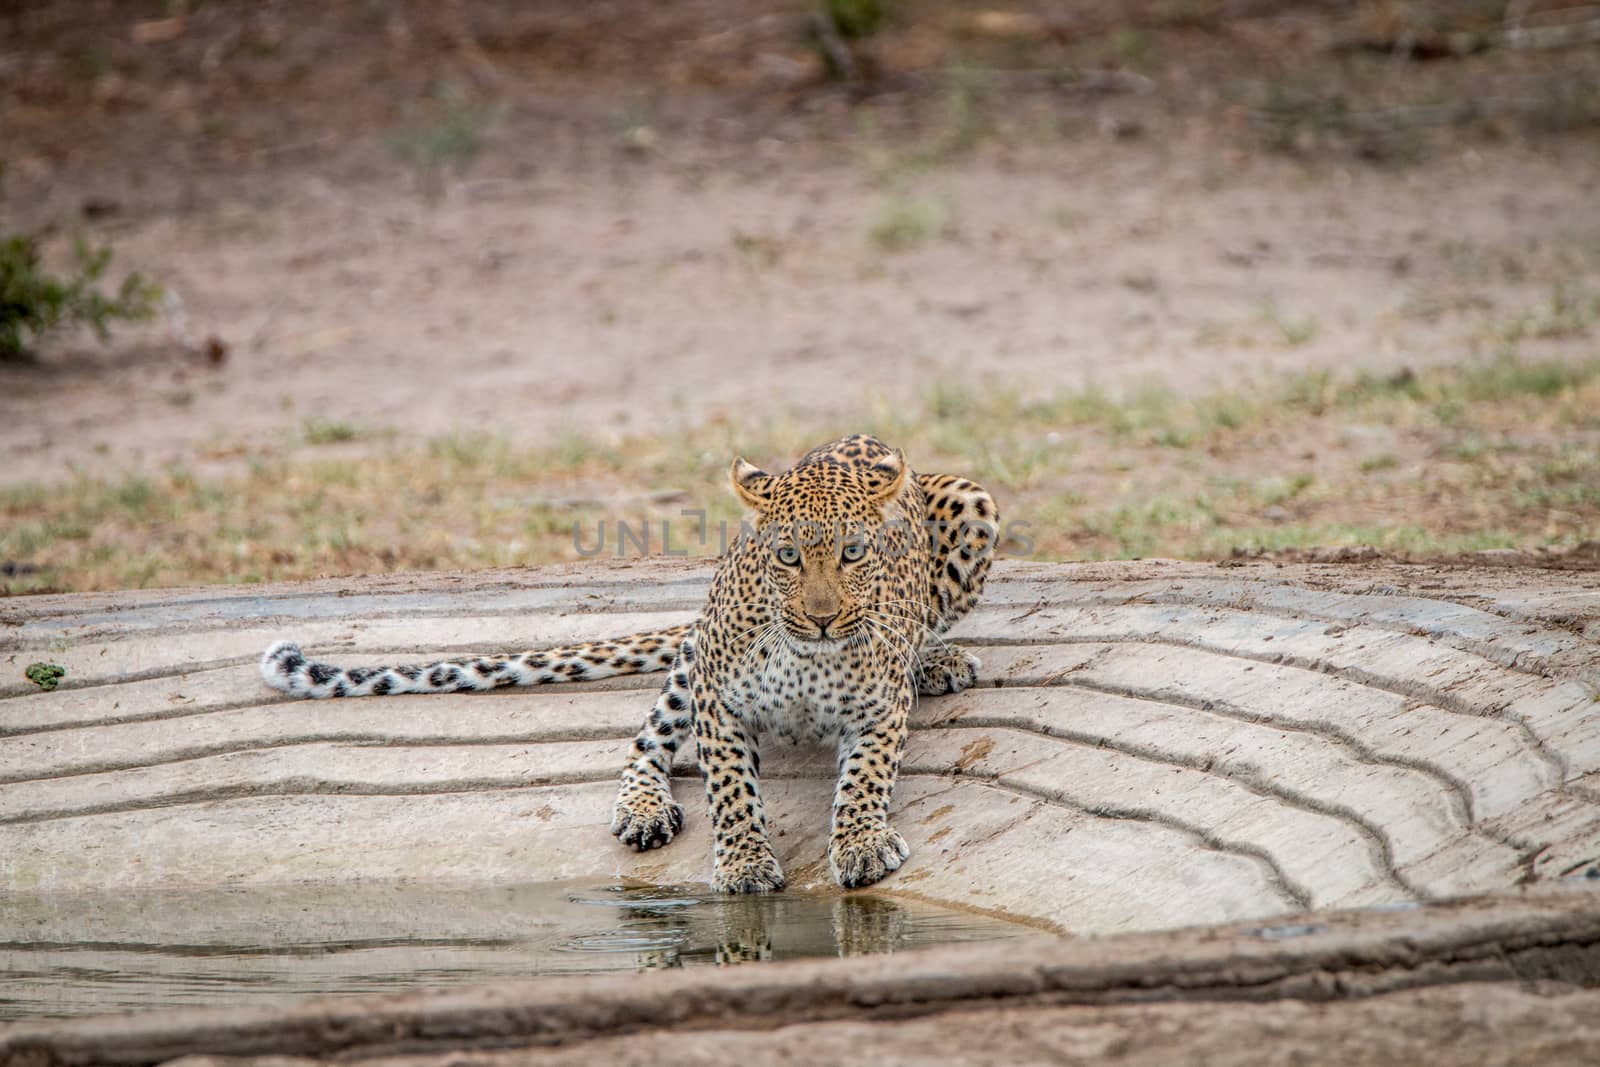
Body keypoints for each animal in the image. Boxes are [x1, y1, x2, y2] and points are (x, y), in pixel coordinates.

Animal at [256, 435, 992, 895]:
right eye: (787, 556)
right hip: (693, 656)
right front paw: (745, 866)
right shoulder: (717, 699)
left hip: (974, 500)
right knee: (644, 742)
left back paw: (937, 658)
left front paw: (862, 844)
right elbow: (731, 791)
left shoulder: (879, 708)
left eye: (853, 553)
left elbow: (864, 778)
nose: (820, 617)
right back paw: (643, 808)